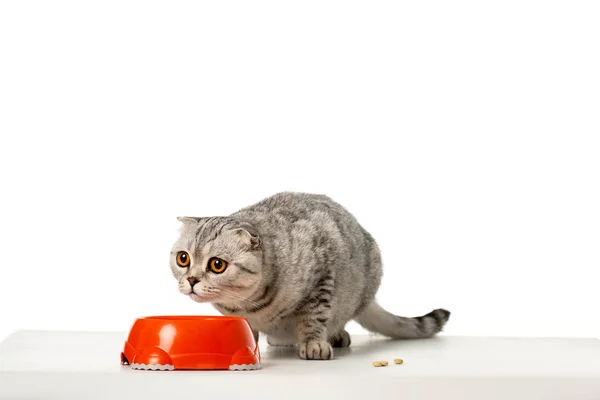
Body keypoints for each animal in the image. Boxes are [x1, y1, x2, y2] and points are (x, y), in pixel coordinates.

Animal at [170, 191, 450, 360]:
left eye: (217, 265)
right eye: (183, 259)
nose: (191, 280)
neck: (250, 305)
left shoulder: (322, 274)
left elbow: (313, 318)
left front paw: (314, 343)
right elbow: (246, 330)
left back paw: (335, 335)